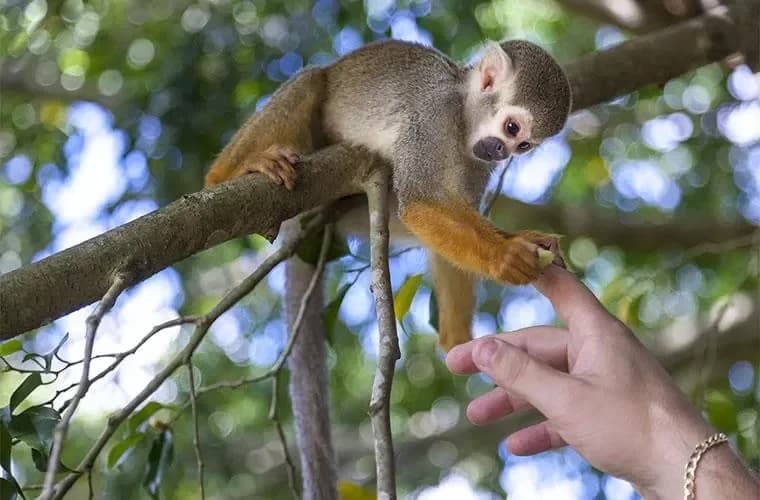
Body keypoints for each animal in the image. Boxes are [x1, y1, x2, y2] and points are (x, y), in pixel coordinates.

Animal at [206, 39, 571, 352]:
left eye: (523, 145)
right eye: (511, 128)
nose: (501, 152)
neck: (462, 121)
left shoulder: (477, 163)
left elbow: (449, 215)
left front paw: (459, 340)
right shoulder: (430, 119)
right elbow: (419, 202)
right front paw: (504, 256)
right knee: (310, 81)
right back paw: (227, 173)